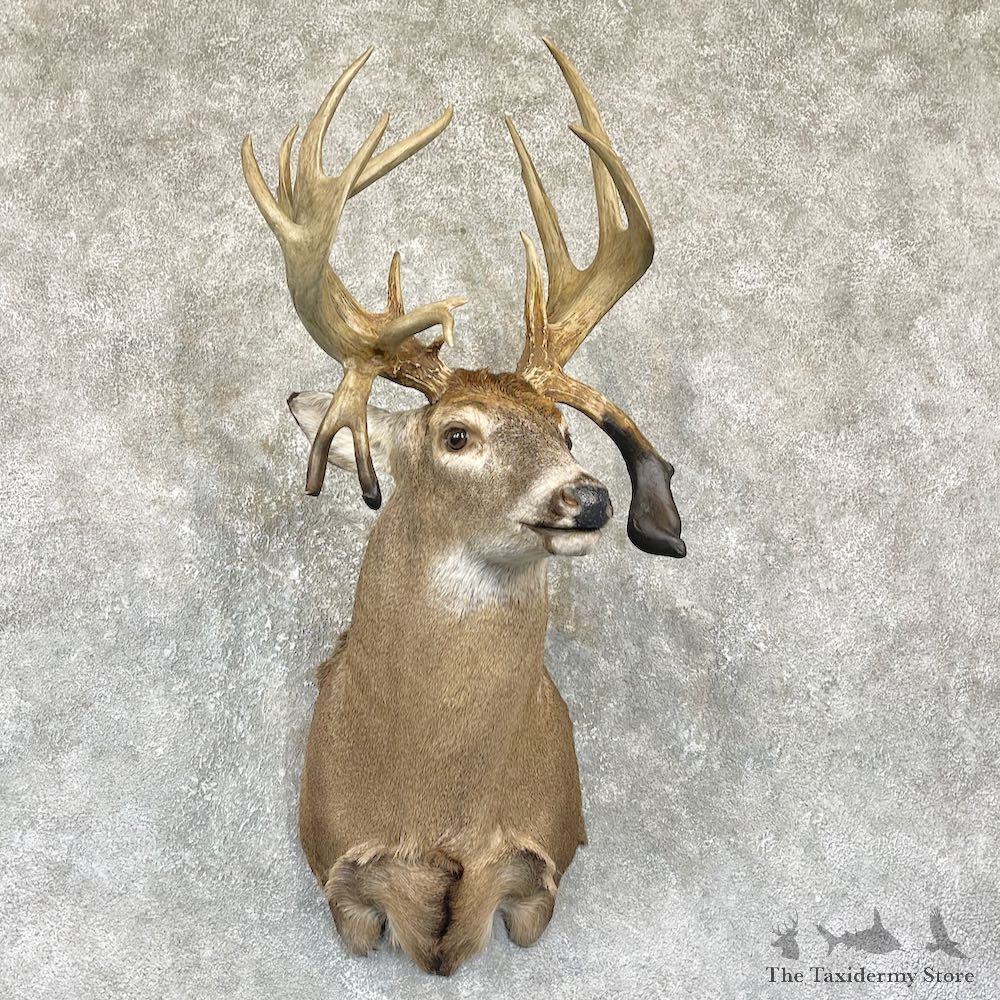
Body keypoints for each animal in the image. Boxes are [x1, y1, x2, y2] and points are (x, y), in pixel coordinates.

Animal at [241, 38, 685, 976]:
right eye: (456, 435)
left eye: (562, 430)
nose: (589, 497)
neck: (442, 810)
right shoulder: (341, 873)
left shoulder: (542, 867)